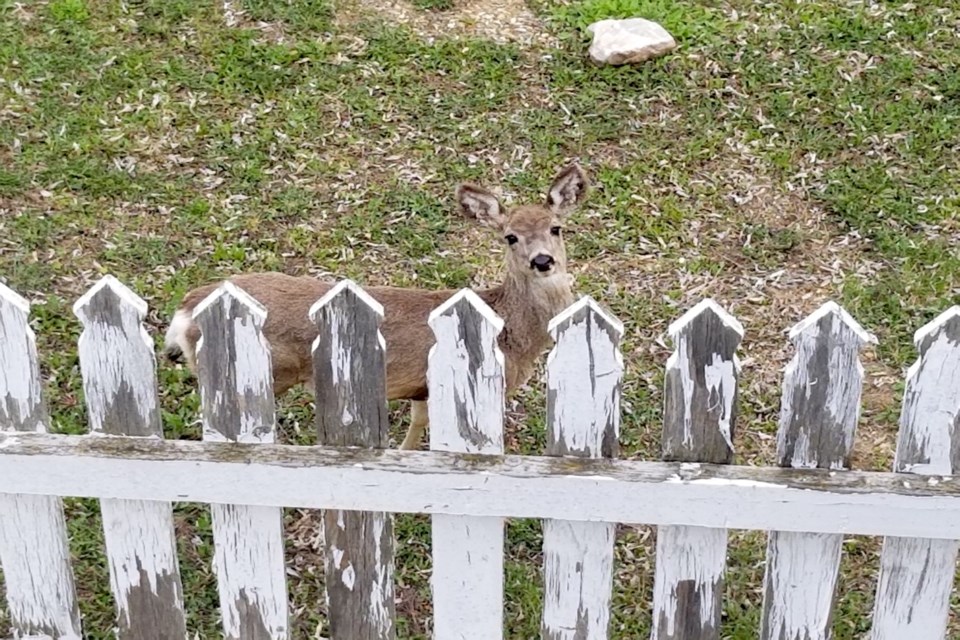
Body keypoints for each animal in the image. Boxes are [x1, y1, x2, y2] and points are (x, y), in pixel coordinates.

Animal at [162, 162, 588, 448]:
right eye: (510, 236)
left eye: (556, 228)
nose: (542, 261)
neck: (511, 332)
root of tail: (185, 312)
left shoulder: (421, 387)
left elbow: (417, 423)